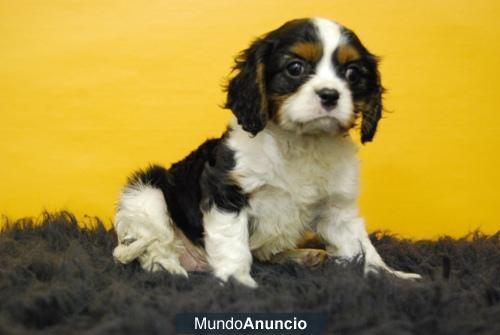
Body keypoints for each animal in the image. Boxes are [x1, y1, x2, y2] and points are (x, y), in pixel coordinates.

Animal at [113, 17, 422, 288]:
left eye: (353, 74)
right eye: (295, 68)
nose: (330, 95)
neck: (302, 142)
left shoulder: (338, 208)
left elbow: (362, 246)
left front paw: (388, 275)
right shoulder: (226, 191)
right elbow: (233, 245)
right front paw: (236, 281)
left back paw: (303, 256)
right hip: (147, 193)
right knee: (154, 247)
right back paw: (170, 268)